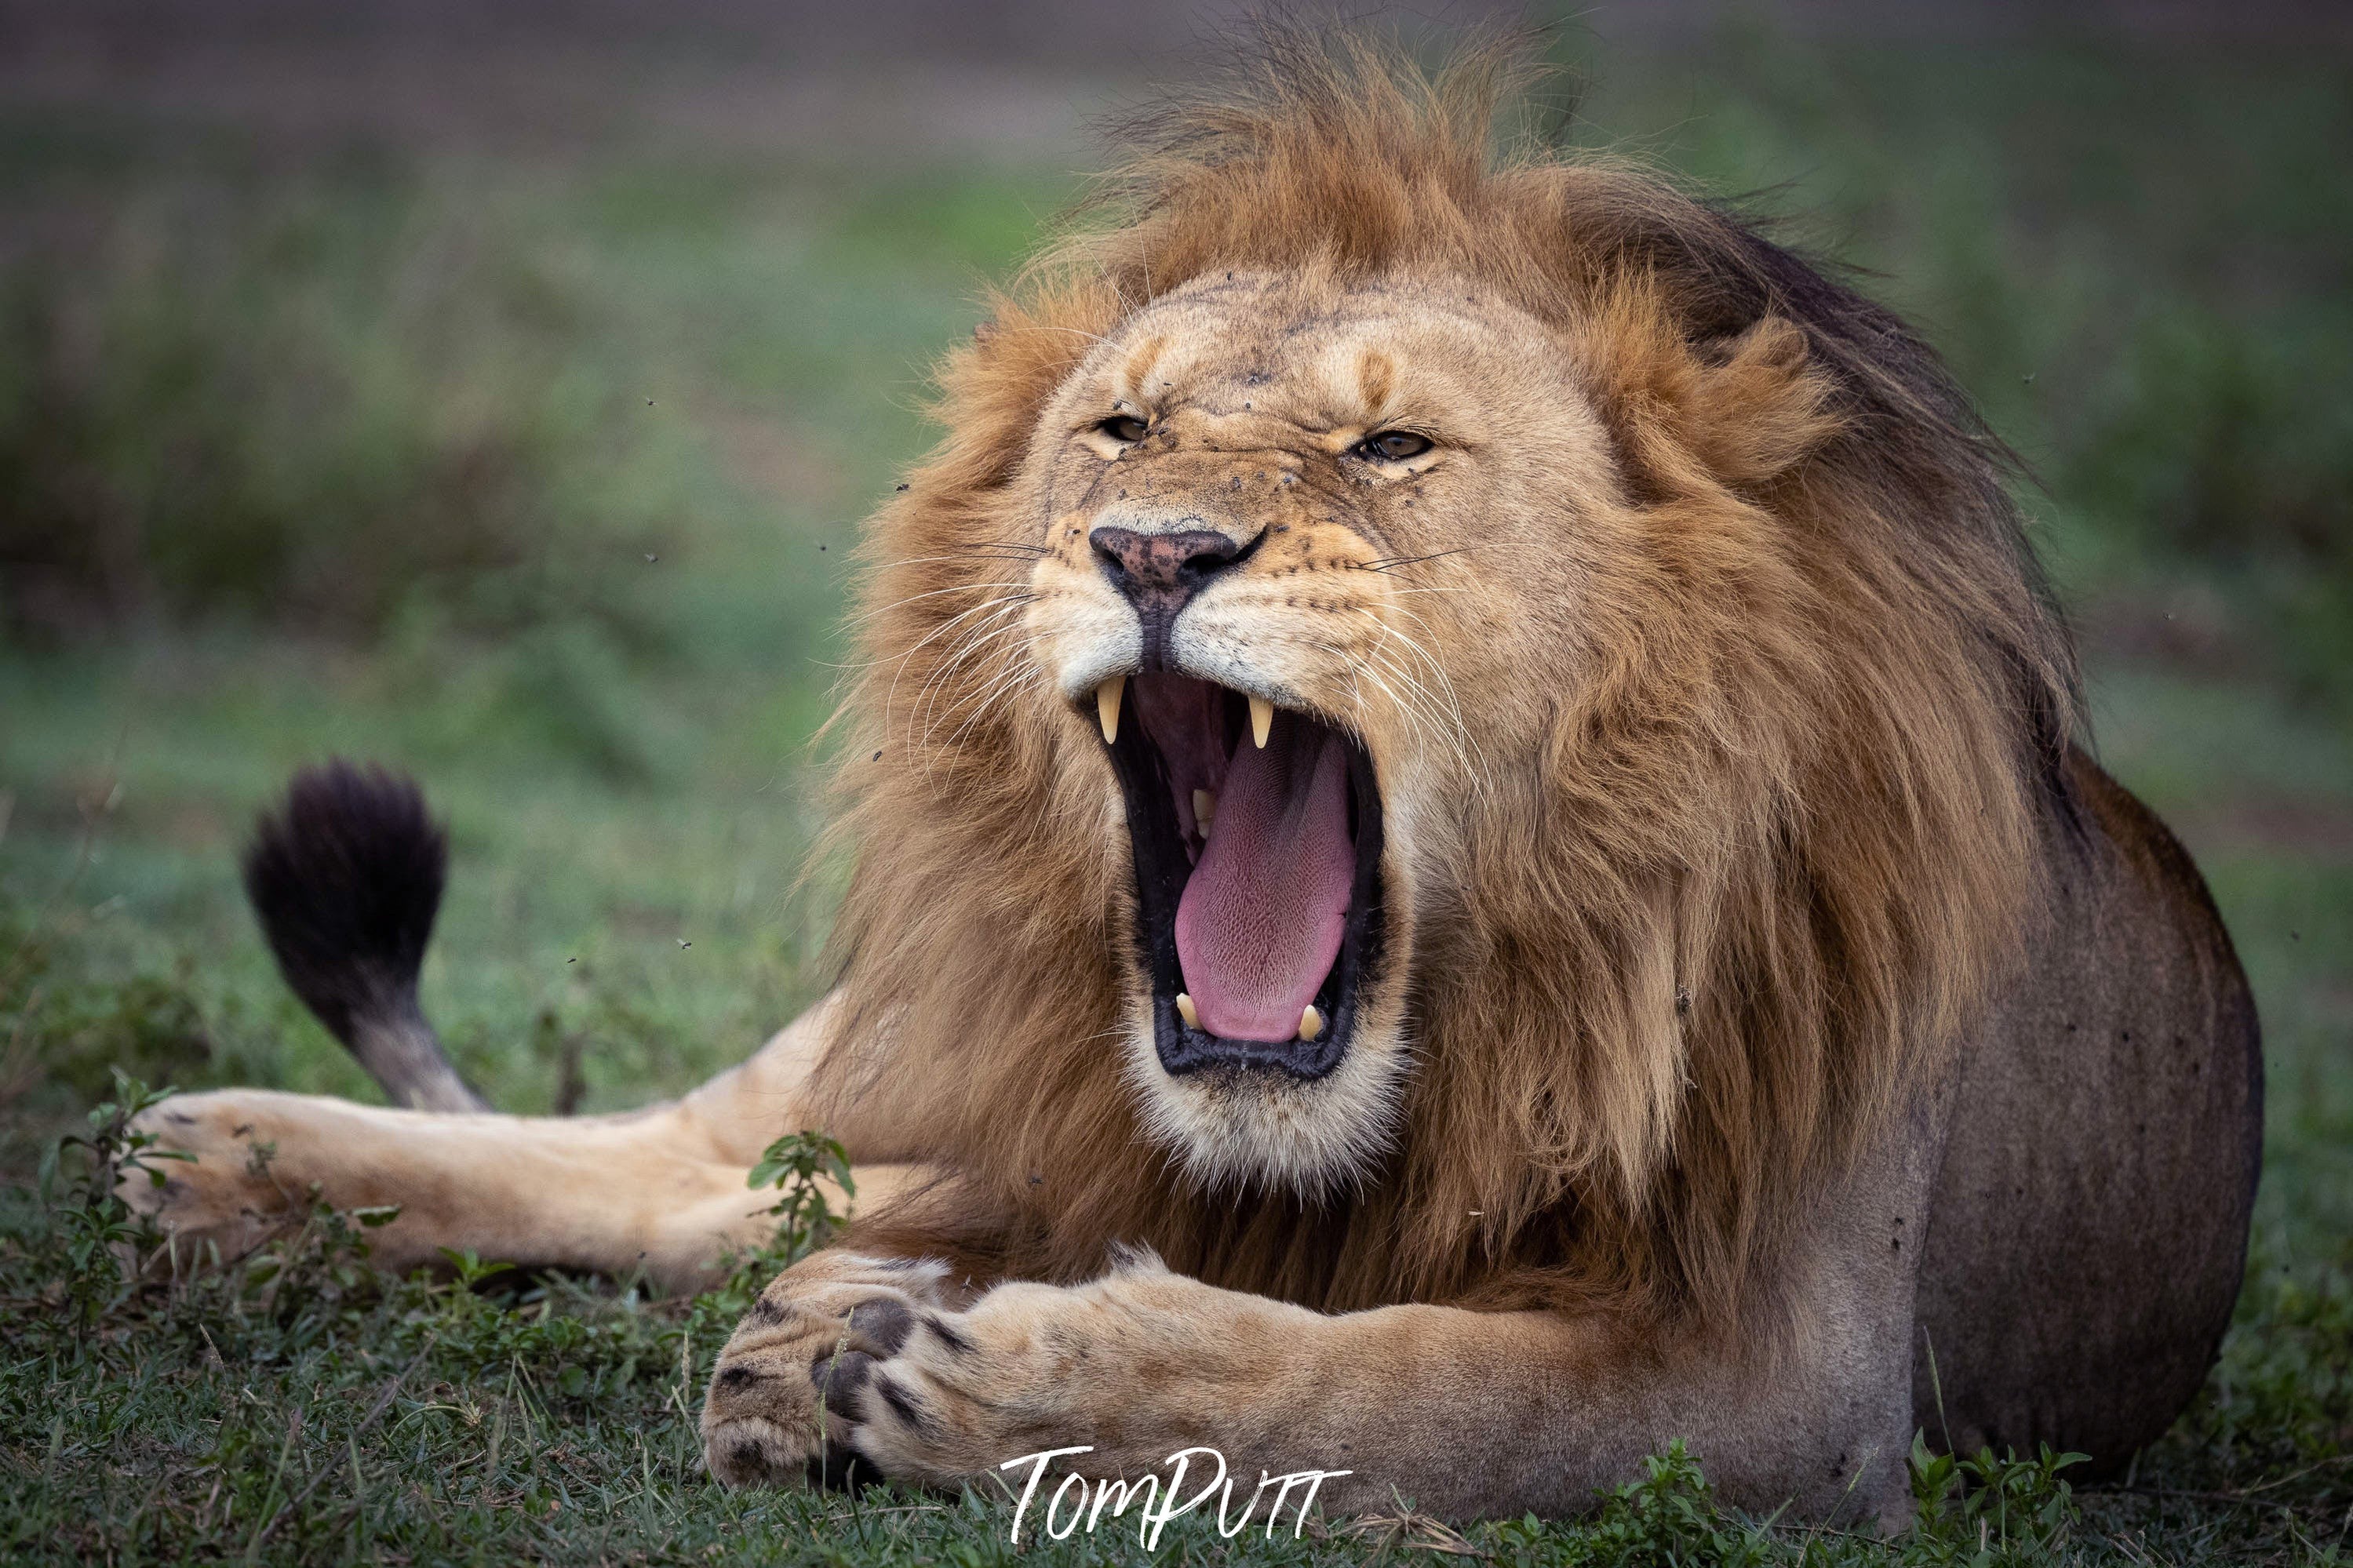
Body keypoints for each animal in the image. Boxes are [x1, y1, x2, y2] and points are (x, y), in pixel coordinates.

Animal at [129, 36, 2259, 1533]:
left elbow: (1404, 1387)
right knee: (676, 1161)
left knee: (730, 1211)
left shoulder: (1790, 1384)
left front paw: (984, 1382)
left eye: (1392, 446)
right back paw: (224, 1162)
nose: (1150, 550)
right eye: (1121, 428)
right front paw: (892, 1357)